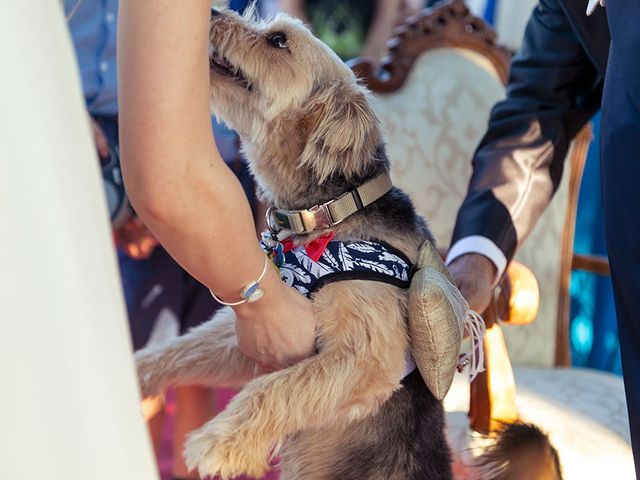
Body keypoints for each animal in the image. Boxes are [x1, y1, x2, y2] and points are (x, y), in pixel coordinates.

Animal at [134, 8, 560, 480]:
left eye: (278, 40)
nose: (209, 12)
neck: (330, 210)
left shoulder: (365, 355)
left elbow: (278, 387)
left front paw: (218, 441)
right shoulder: (262, 332)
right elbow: (185, 348)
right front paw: (135, 372)